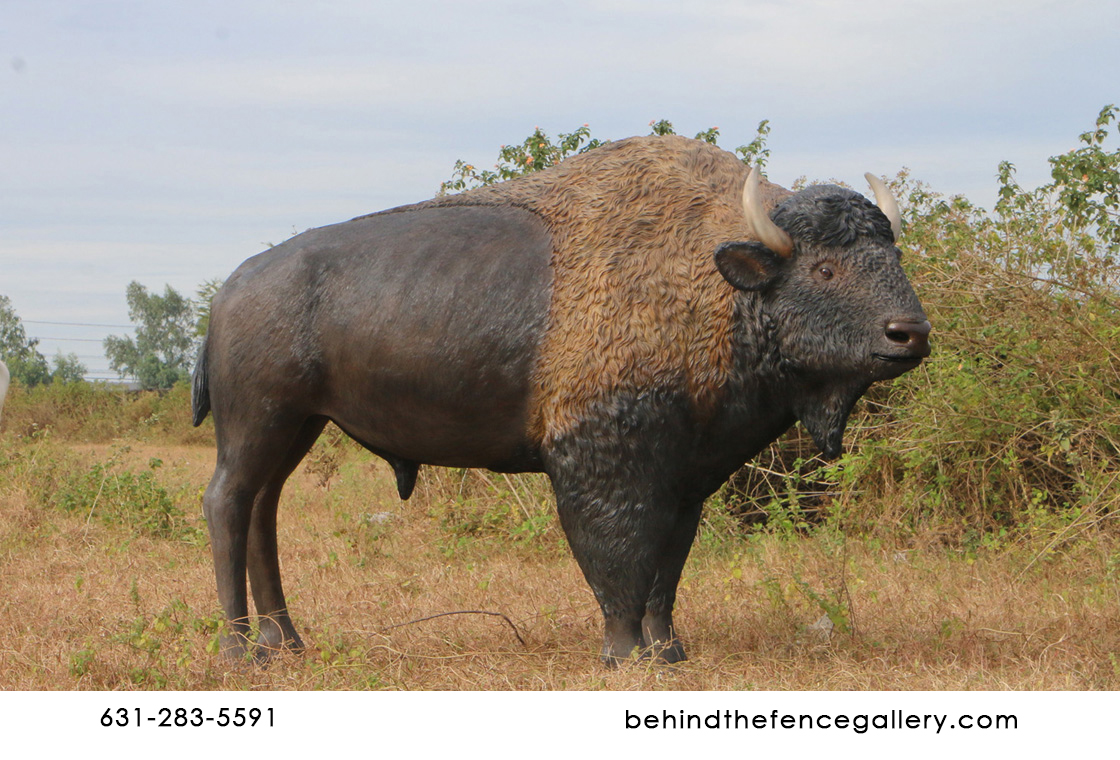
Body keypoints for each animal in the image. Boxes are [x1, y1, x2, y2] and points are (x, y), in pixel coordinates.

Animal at [192, 136, 927, 667]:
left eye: (892, 259)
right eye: (824, 269)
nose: (910, 333)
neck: (714, 278)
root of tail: (230, 290)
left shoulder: (684, 478)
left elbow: (666, 571)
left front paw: (669, 652)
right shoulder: (601, 465)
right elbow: (617, 561)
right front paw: (625, 656)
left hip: (299, 425)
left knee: (263, 510)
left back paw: (286, 643)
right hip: (259, 420)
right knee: (228, 501)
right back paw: (237, 652)